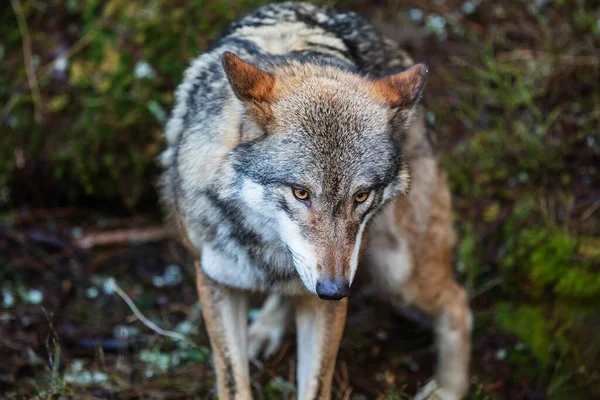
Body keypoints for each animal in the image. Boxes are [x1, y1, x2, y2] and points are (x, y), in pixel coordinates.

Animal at [161, 1, 474, 398]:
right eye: (301, 192)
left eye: (361, 195)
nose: (335, 290)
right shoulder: (215, 279)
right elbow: (233, 381)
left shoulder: (327, 304)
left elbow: (316, 383)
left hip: (399, 275)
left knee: (457, 301)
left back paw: (448, 389)